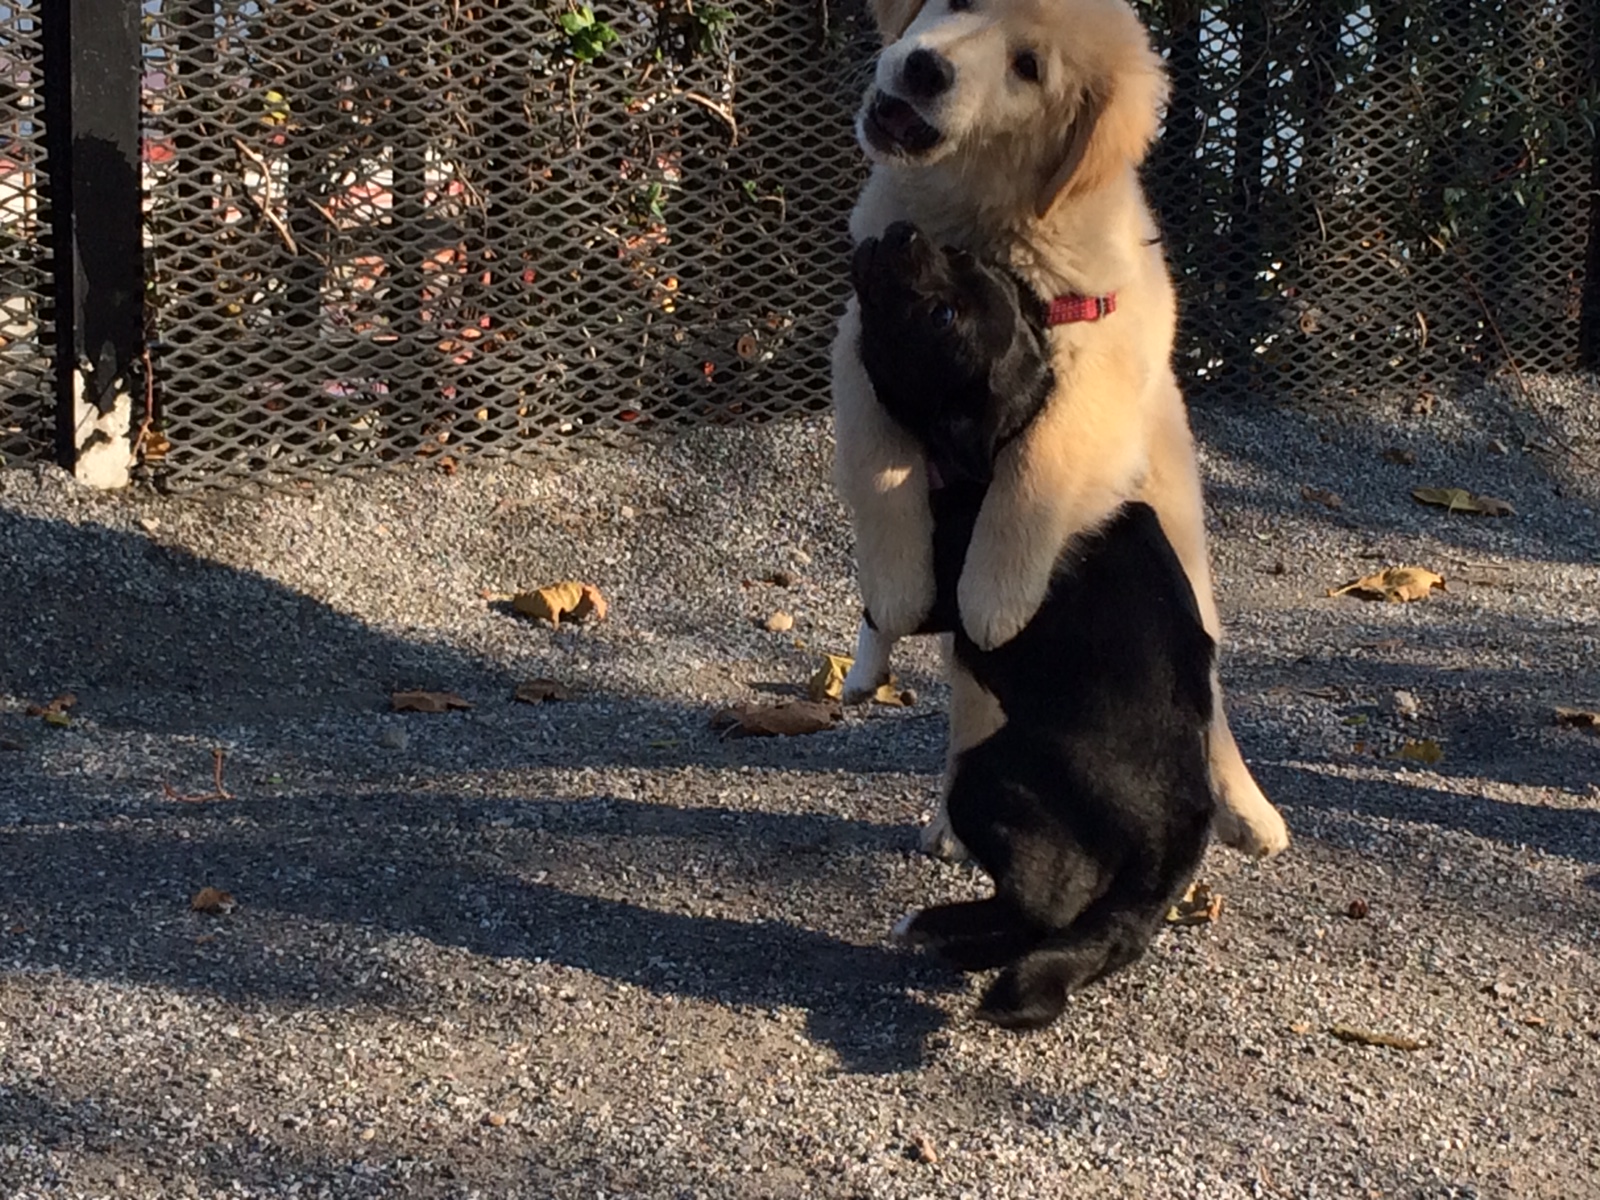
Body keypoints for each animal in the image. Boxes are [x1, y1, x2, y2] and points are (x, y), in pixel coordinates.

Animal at [851, 224, 1209, 1036]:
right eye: (962, 260)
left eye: (944, 317)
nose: (905, 233)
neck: (1003, 441)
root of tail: (1180, 829)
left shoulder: (945, 592)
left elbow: (881, 605)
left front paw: (859, 673)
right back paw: (961, 946)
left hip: (990, 776)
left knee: (1046, 905)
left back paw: (932, 926)